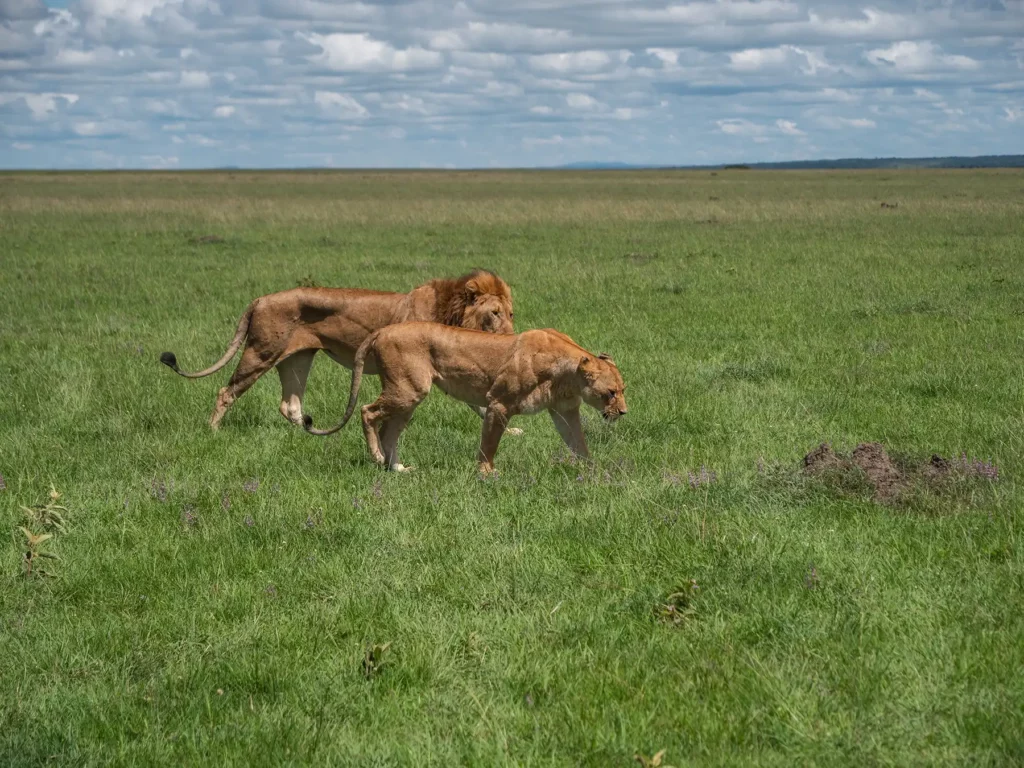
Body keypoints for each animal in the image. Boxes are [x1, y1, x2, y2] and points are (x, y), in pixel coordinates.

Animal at [159, 270, 514, 429]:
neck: (451, 311)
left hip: (297, 359)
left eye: (511, 313)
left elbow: (478, 402)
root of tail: (259, 299)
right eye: (494, 313)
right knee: (226, 391)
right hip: (261, 353)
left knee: (290, 405)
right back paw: (213, 430)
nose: (513, 336)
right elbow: (475, 402)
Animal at [302, 322, 627, 474]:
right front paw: (487, 474)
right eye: (610, 393)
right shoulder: (498, 403)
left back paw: (397, 469)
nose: (623, 413)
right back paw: (378, 457)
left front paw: (594, 472)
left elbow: (578, 443)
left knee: (389, 430)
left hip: (409, 397)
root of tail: (382, 330)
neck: (568, 375)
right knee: (368, 412)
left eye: (623, 390)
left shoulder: (564, 410)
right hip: (407, 390)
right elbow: (489, 443)